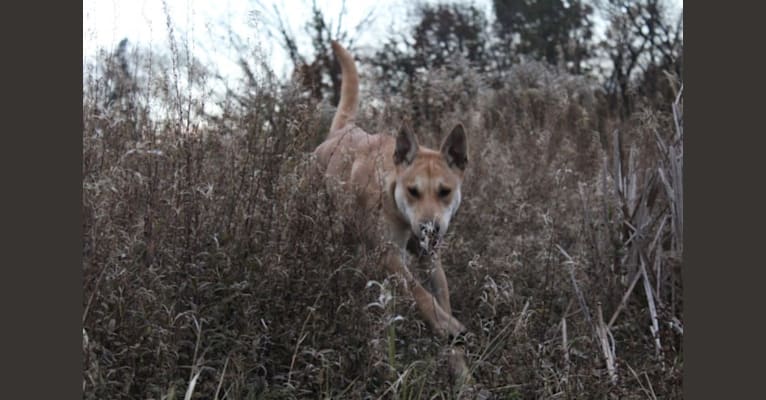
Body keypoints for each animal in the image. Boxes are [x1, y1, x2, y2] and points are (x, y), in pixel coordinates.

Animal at [314, 40, 472, 382]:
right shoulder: (389, 254)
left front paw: (460, 369)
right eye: (413, 191)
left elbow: (439, 298)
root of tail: (342, 131)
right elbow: (420, 294)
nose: (430, 229)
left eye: (445, 191)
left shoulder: (430, 261)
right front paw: (446, 326)